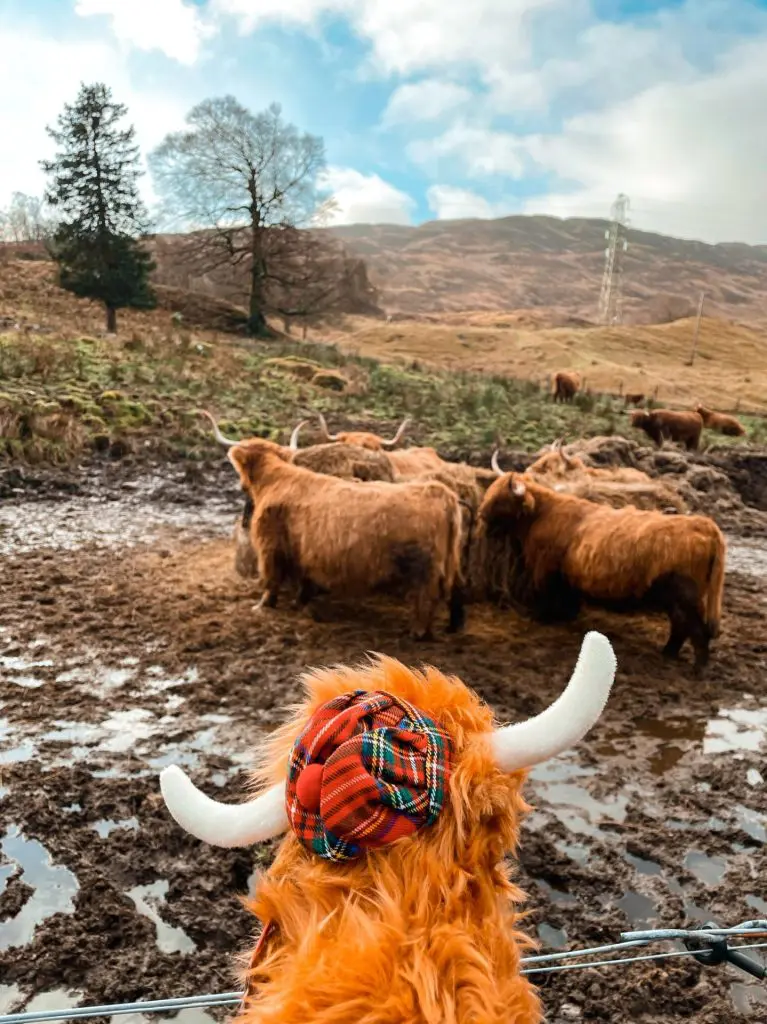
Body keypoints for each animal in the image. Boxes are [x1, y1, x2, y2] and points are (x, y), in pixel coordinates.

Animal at [227, 438, 466, 639]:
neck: (276, 480)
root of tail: (440, 492)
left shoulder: (270, 544)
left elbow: (272, 578)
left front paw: (263, 605)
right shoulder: (304, 549)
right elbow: (304, 578)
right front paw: (300, 602)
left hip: (425, 568)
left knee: (427, 596)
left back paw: (418, 632)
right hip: (450, 559)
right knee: (455, 588)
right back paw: (452, 626)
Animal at [478, 462, 725, 675]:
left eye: (500, 500)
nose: (481, 514)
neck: (541, 515)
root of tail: (706, 525)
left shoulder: (545, 571)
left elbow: (547, 599)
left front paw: (541, 618)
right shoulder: (569, 579)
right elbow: (569, 602)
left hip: (685, 596)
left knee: (697, 630)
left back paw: (698, 668)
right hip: (674, 598)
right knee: (681, 626)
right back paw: (668, 653)